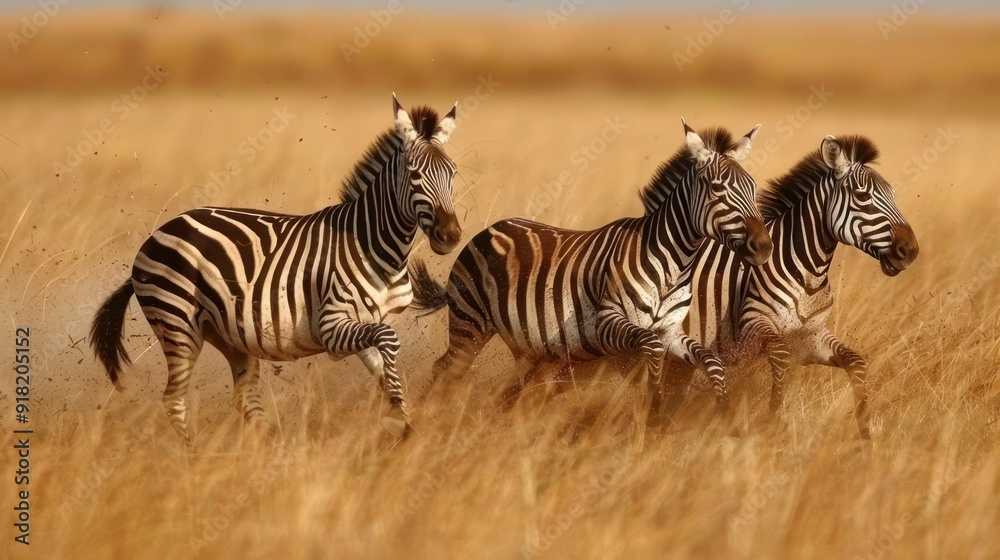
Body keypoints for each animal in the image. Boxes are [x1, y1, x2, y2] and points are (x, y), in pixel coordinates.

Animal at [90, 94, 461, 443]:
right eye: (414, 174)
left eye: (453, 174)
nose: (450, 236)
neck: (376, 246)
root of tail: (161, 231)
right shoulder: (331, 324)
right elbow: (389, 343)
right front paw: (400, 423)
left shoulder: (371, 322)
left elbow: (386, 373)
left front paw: (404, 427)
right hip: (177, 323)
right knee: (174, 399)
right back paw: (195, 456)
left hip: (227, 335)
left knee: (244, 398)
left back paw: (267, 448)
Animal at [411, 119, 772, 417]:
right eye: (718, 189)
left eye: (753, 188)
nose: (764, 247)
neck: (672, 264)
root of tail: (493, 227)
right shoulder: (607, 322)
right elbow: (652, 352)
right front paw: (655, 407)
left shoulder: (670, 331)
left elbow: (710, 361)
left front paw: (723, 411)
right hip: (470, 323)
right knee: (445, 371)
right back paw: (418, 428)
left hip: (530, 349)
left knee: (509, 391)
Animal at [681, 134, 919, 438]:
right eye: (863, 196)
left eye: (892, 195)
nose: (910, 251)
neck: (807, 272)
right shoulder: (751, 323)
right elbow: (780, 356)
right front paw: (773, 419)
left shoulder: (813, 336)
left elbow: (856, 362)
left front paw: (865, 433)